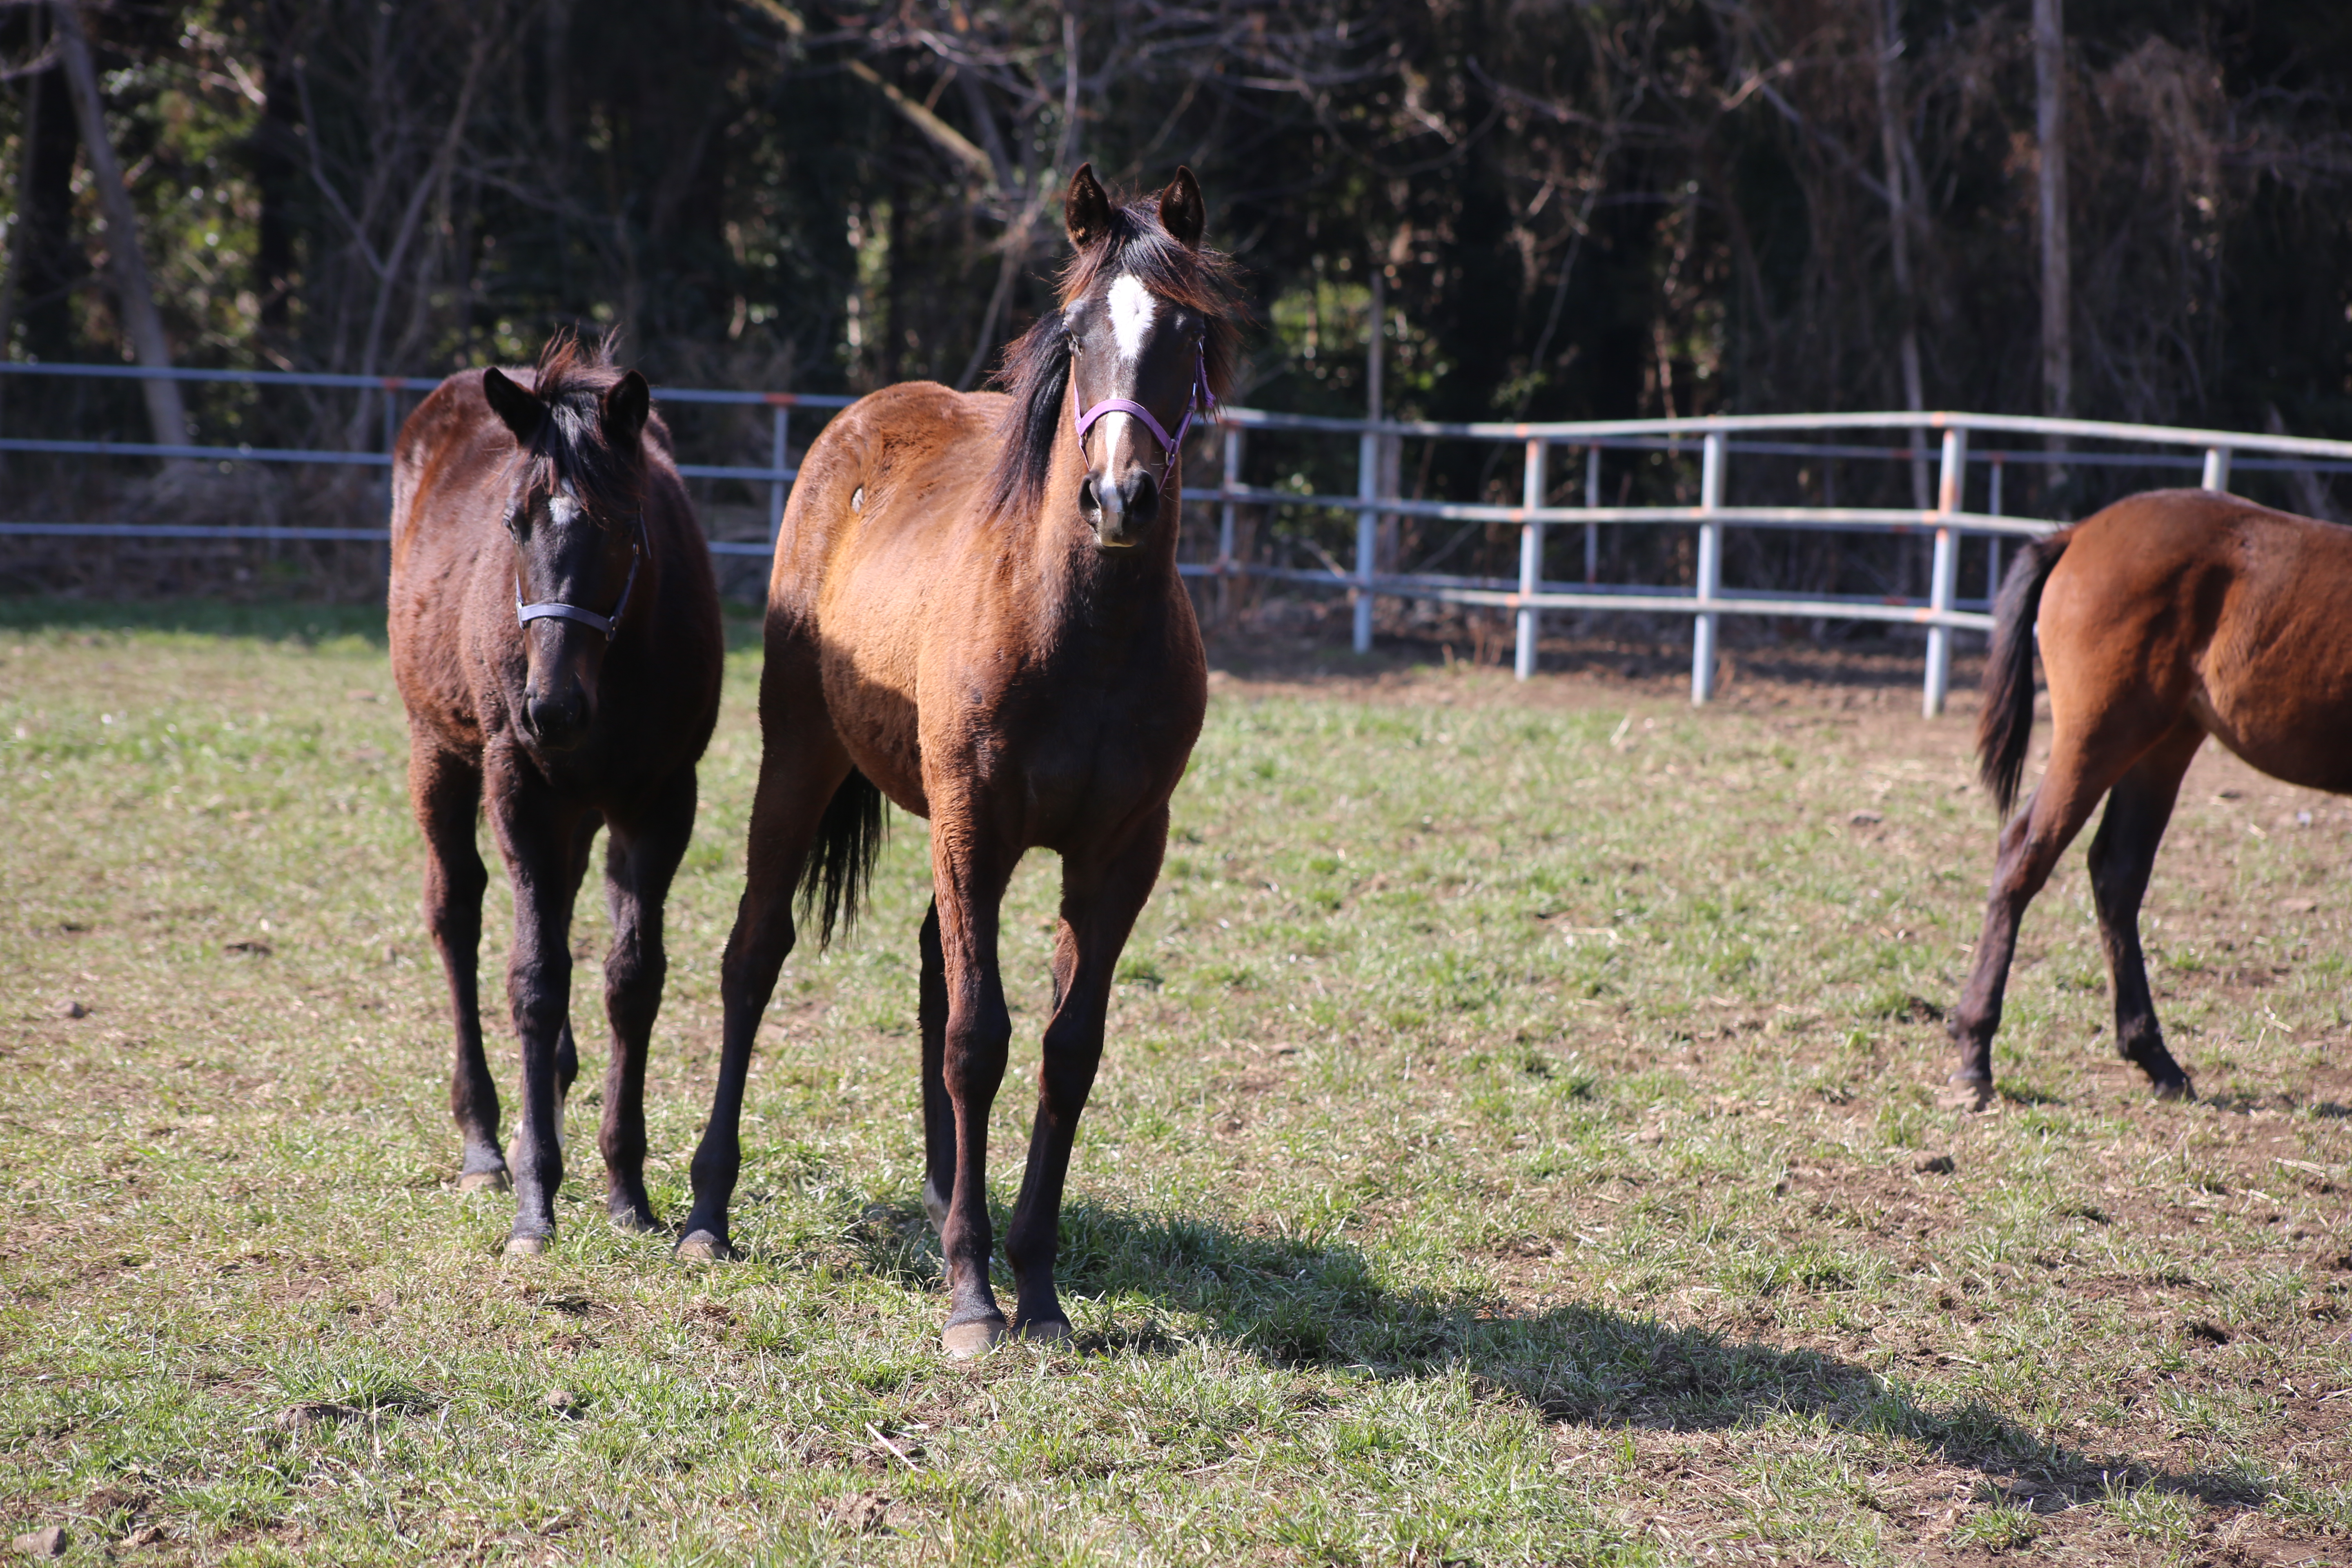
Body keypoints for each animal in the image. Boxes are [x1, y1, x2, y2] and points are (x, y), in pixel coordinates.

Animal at [390, 339, 719, 1260]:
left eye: (624, 524)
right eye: (513, 522)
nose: (552, 709)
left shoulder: (661, 801)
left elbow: (632, 980)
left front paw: (627, 1188)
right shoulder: (521, 787)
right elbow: (534, 980)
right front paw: (536, 1204)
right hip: (439, 752)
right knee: (456, 911)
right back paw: (485, 1142)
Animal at [673, 165, 1242, 1354]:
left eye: (1186, 334)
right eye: (1078, 335)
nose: (1120, 497)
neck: (1080, 632)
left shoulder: (1118, 853)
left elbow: (1066, 1049)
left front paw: (1036, 1285)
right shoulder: (975, 820)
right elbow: (981, 1038)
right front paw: (974, 1298)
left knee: (936, 965)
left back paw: (944, 1193)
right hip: (800, 766)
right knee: (755, 956)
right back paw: (707, 1212)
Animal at [1947, 484, 2352, 1109]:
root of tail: (2078, 534)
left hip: (2162, 743)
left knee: (2116, 872)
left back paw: (2156, 1058)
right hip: (2102, 735)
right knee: (2025, 854)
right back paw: (1976, 1053)